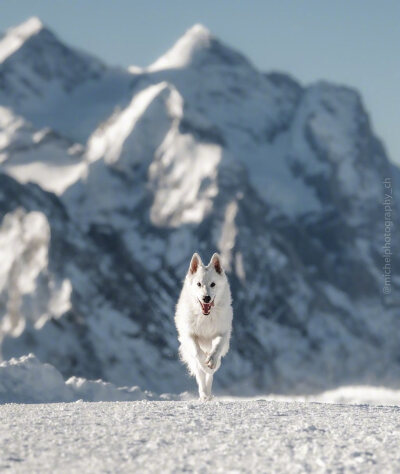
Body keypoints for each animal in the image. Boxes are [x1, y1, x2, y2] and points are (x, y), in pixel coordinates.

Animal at [174, 252, 233, 400]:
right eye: (199, 284)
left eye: (213, 284)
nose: (206, 298)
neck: (205, 316)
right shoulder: (189, 335)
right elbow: (197, 352)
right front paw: (205, 364)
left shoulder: (222, 333)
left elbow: (216, 348)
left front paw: (211, 362)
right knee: (200, 373)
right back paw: (204, 394)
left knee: (211, 374)